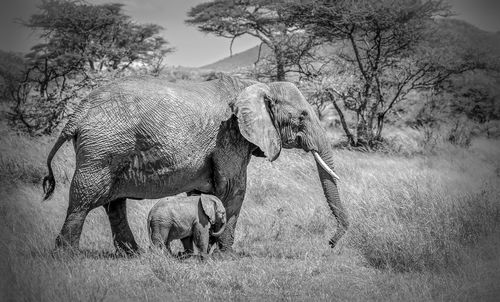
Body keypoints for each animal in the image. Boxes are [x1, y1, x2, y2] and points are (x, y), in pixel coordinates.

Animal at [42, 74, 348, 254]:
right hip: (102, 148)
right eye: (302, 116)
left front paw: (206, 249)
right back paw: (68, 256)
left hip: (108, 148)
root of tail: (77, 114)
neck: (257, 85)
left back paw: (133, 255)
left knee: (113, 204)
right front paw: (225, 255)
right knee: (83, 199)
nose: (330, 244)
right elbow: (233, 189)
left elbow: (209, 193)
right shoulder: (230, 135)